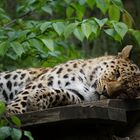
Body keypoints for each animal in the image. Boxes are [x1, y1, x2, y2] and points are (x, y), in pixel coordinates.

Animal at [1, 45, 140, 114]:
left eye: (124, 92)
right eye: (117, 73)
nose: (106, 92)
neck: (88, 82)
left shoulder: (79, 96)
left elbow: (59, 93)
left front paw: (37, 101)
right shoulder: (43, 80)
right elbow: (24, 95)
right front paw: (14, 112)